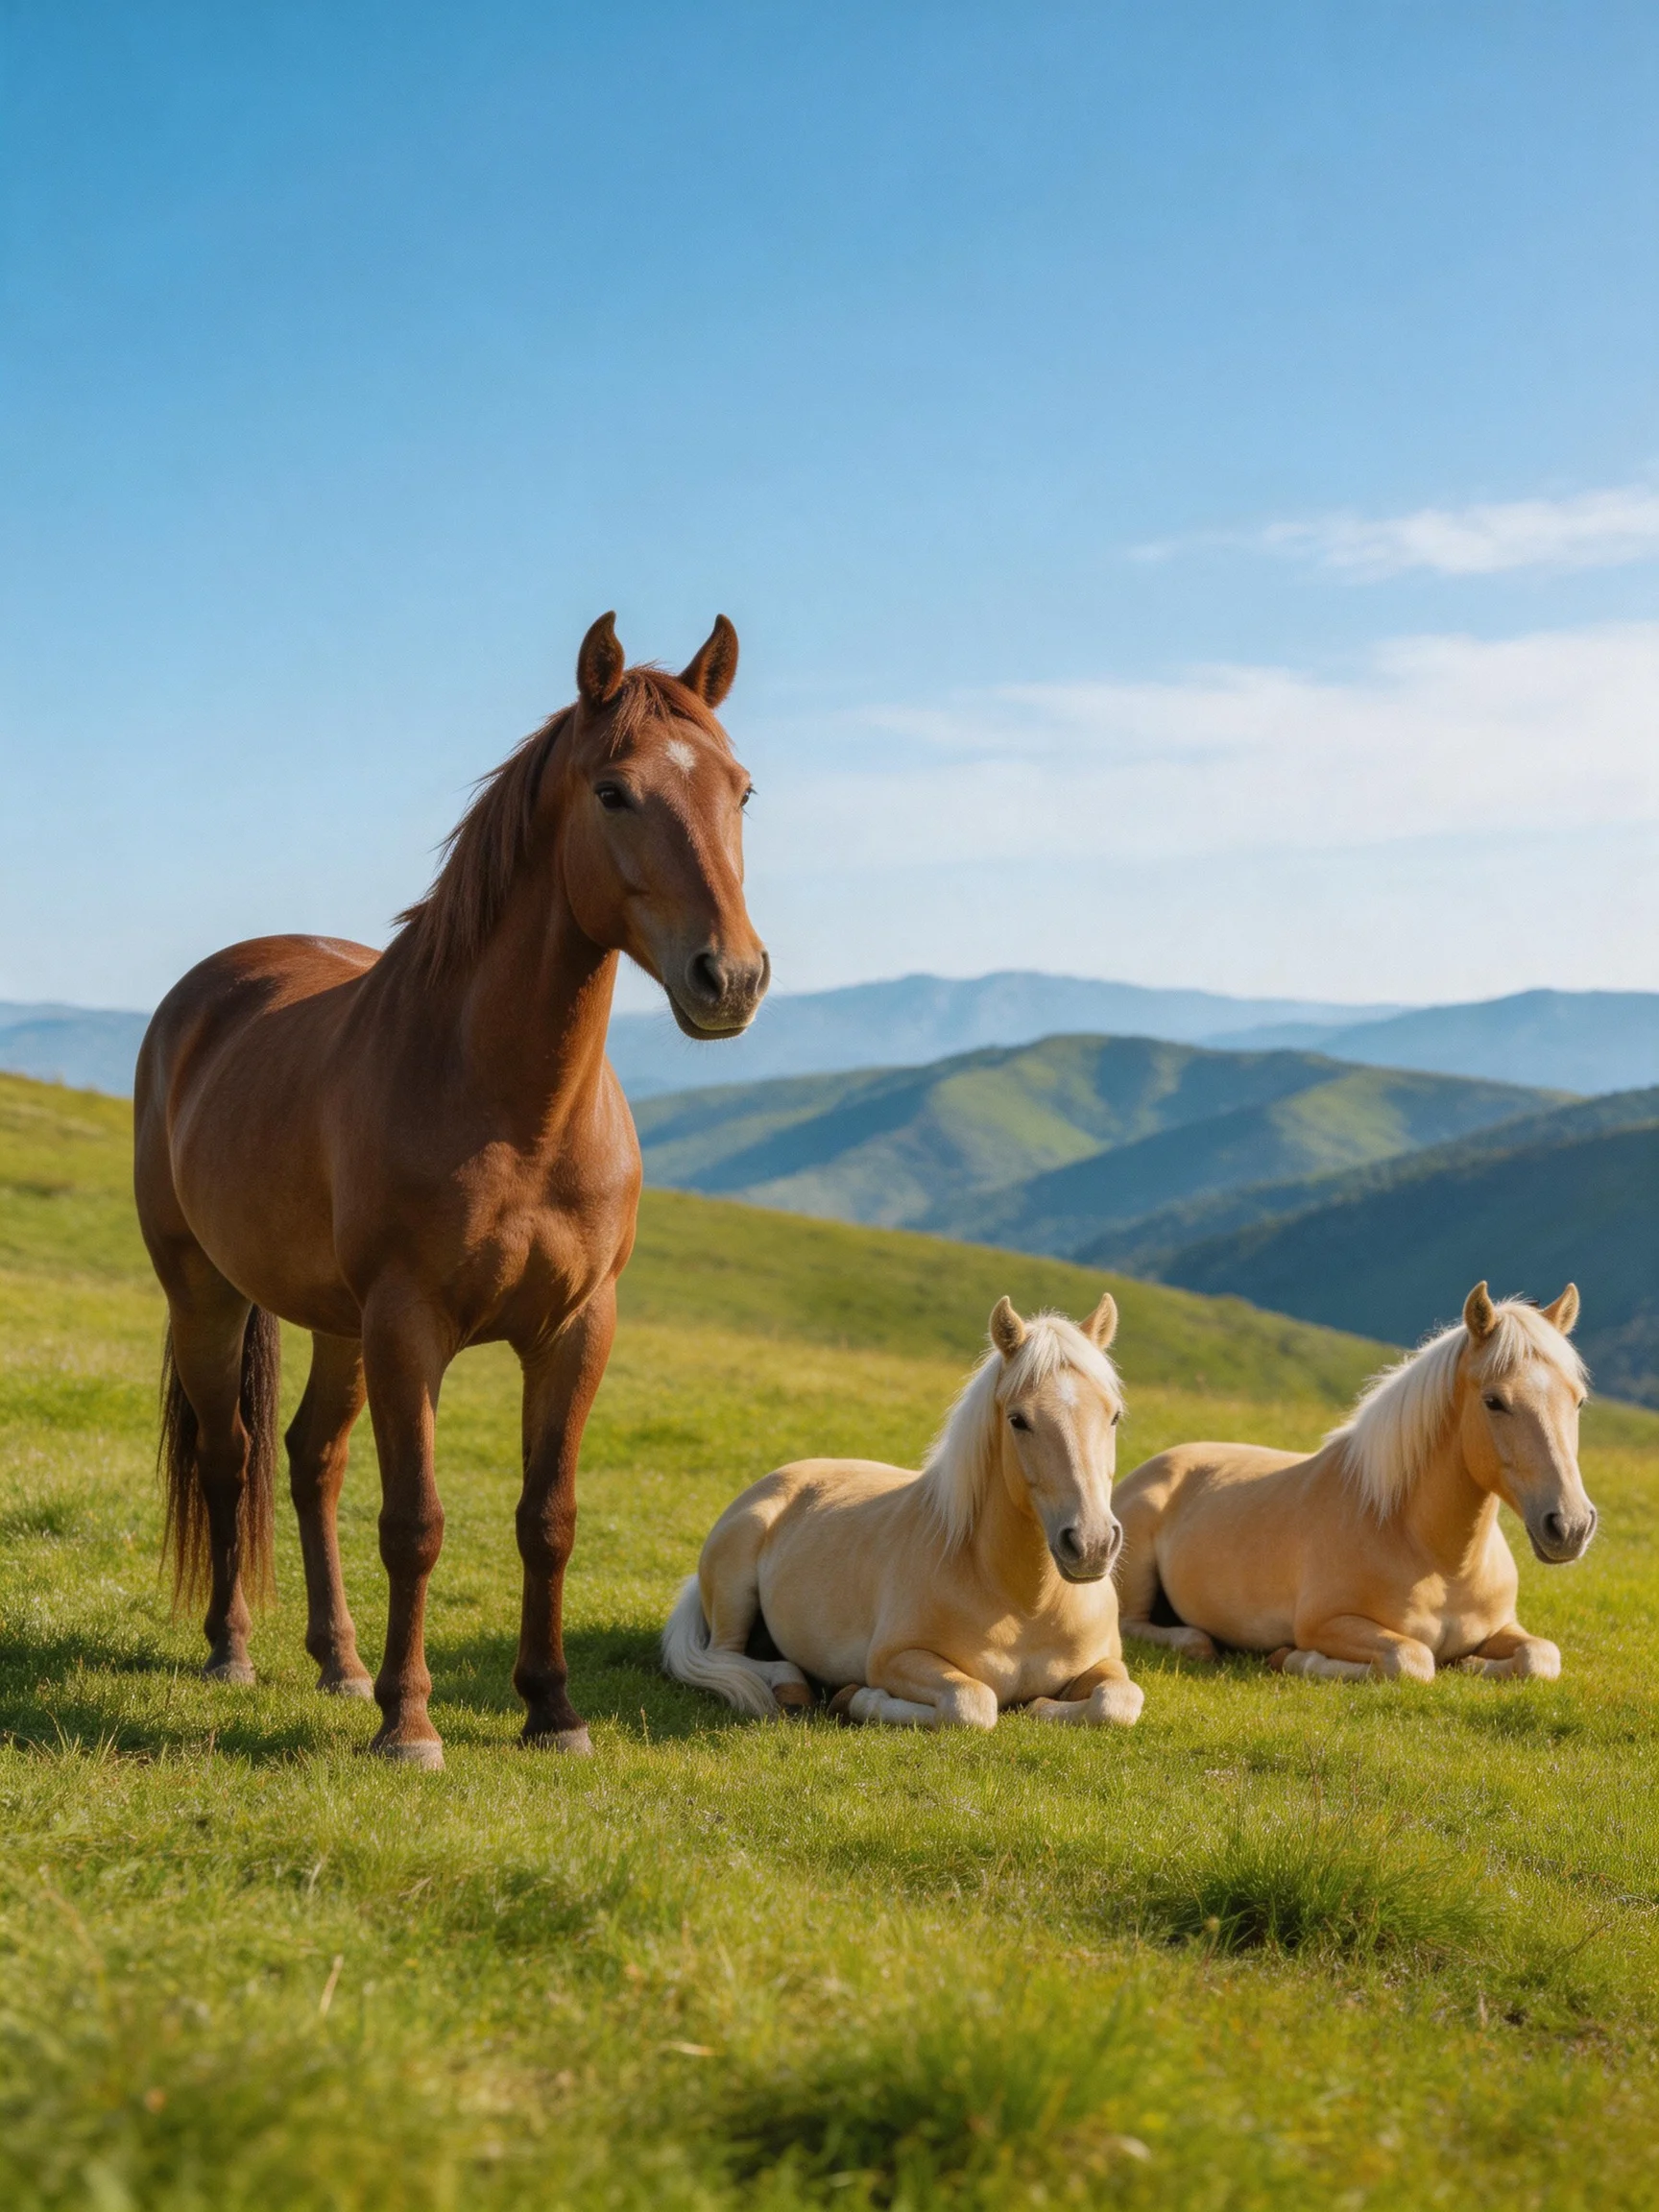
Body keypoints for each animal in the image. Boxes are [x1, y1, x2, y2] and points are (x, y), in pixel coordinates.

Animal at [134, 614, 767, 1767]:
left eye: (741, 791)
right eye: (614, 792)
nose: (730, 979)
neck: (513, 1103)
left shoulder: (576, 1330)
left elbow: (547, 1519)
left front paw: (552, 1710)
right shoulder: (410, 1326)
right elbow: (416, 1523)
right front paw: (411, 1723)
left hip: (336, 1327)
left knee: (311, 1460)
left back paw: (339, 1662)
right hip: (207, 1293)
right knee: (229, 1456)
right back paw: (233, 1649)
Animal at [662, 1295, 1145, 1730]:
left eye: (1115, 1416)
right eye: (1018, 1420)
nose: (1091, 1544)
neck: (1023, 1604)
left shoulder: (1106, 1663)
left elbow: (1119, 1700)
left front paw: (1042, 1707)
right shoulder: (897, 1659)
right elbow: (971, 1704)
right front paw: (858, 1698)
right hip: (734, 1590)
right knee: (727, 1655)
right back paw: (792, 1686)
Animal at [1113, 1282, 1595, 1683]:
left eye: (1578, 1400)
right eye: (1494, 1401)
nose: (1570, 1525)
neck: (1433, 1555)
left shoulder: (1504, 1627)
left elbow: (1540, 1656)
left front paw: (1472, 1663)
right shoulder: (1329, 1624)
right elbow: (1411, 1659)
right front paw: (1295, 1658)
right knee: (1145, 1627)